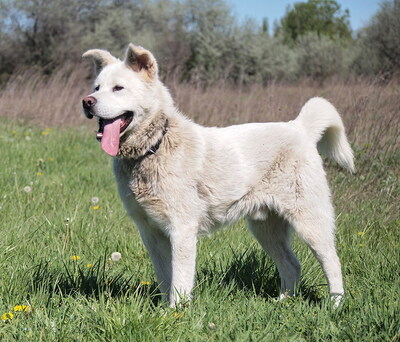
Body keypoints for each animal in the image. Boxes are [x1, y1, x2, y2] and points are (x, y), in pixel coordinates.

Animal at [81, 43, 354, 308]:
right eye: (96, 87)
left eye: (118, 88)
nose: (87, 102)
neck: (155, 146)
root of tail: (299, 128)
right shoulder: (151, 233)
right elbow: (164, 278)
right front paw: (162, 311)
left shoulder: (181, 230)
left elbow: (179, 282)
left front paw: (175, 314)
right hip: (266, 228)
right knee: (292, 264)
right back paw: (283, 302)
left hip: (310, 222)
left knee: (333, 262)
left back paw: (334, 306)